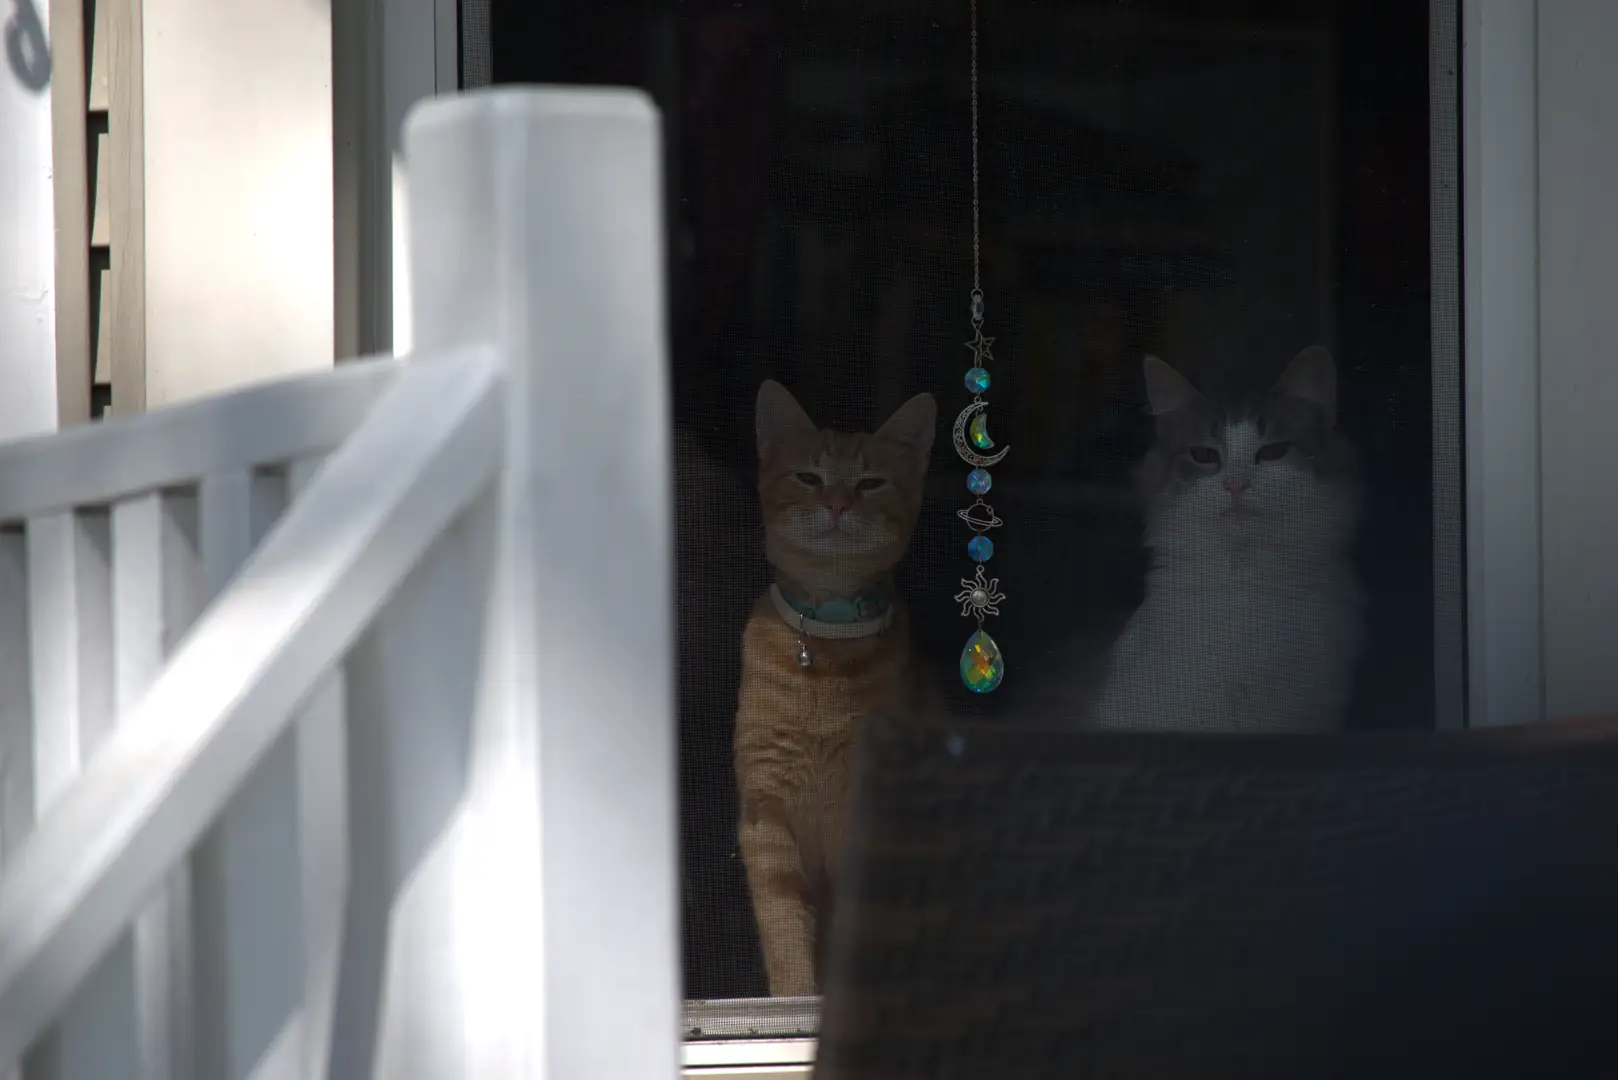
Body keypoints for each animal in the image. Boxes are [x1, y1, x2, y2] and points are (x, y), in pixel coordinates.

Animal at [734, 379, 936, 997]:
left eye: (870, 483)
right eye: (809, 477)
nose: (838, 505)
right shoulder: (767, 811)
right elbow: (783, 927)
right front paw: (795, 1000)